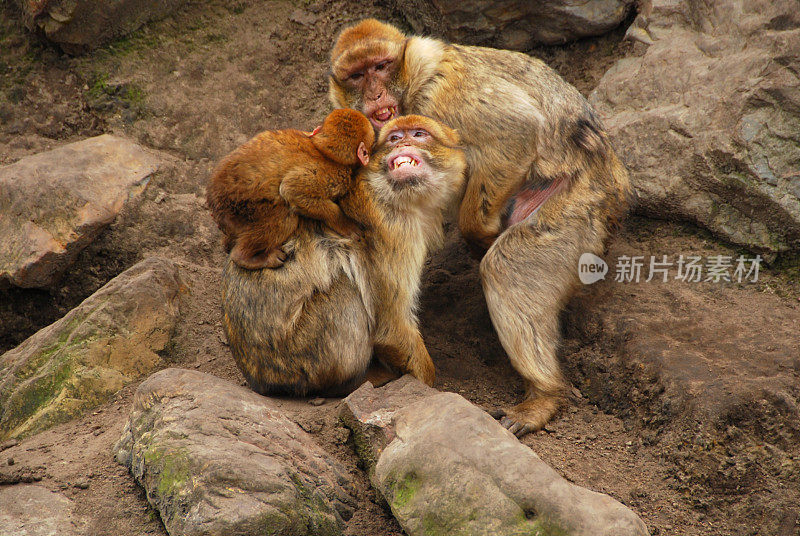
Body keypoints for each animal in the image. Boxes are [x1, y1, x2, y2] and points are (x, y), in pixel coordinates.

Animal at [330, 18, 632, 436]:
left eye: (380, 67)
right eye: (357, 76)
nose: (374, 94)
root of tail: (616, 185)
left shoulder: (438, 92)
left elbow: (518, 129)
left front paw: (476, 232)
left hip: (578, 204)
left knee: (507, 268)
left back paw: (544, 395)